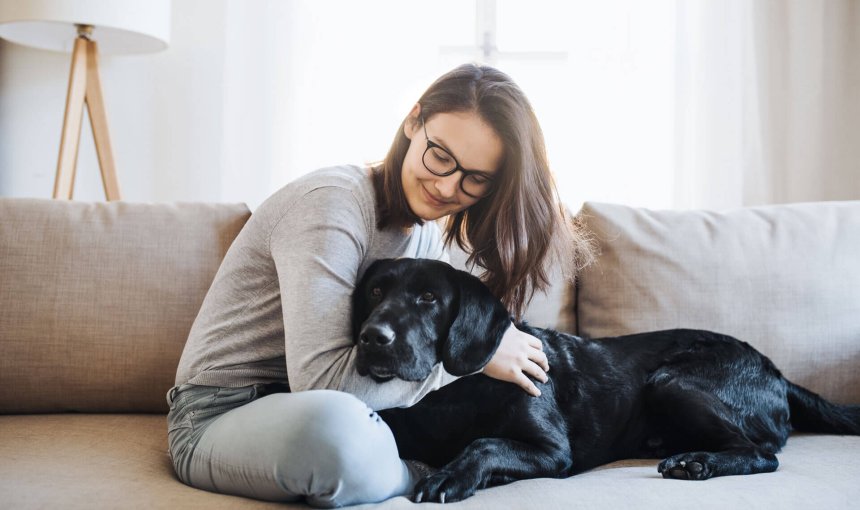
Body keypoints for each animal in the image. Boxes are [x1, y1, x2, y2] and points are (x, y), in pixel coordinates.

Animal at [352, 258, 860, 502]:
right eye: (375, 291)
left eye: (429, 298)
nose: (371, 337)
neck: (452, 397)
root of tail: (776, 370)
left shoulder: (553, 451)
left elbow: (484, 443)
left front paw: (450, 476)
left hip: (671, 381)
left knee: (762, 453)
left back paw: (697, 462)